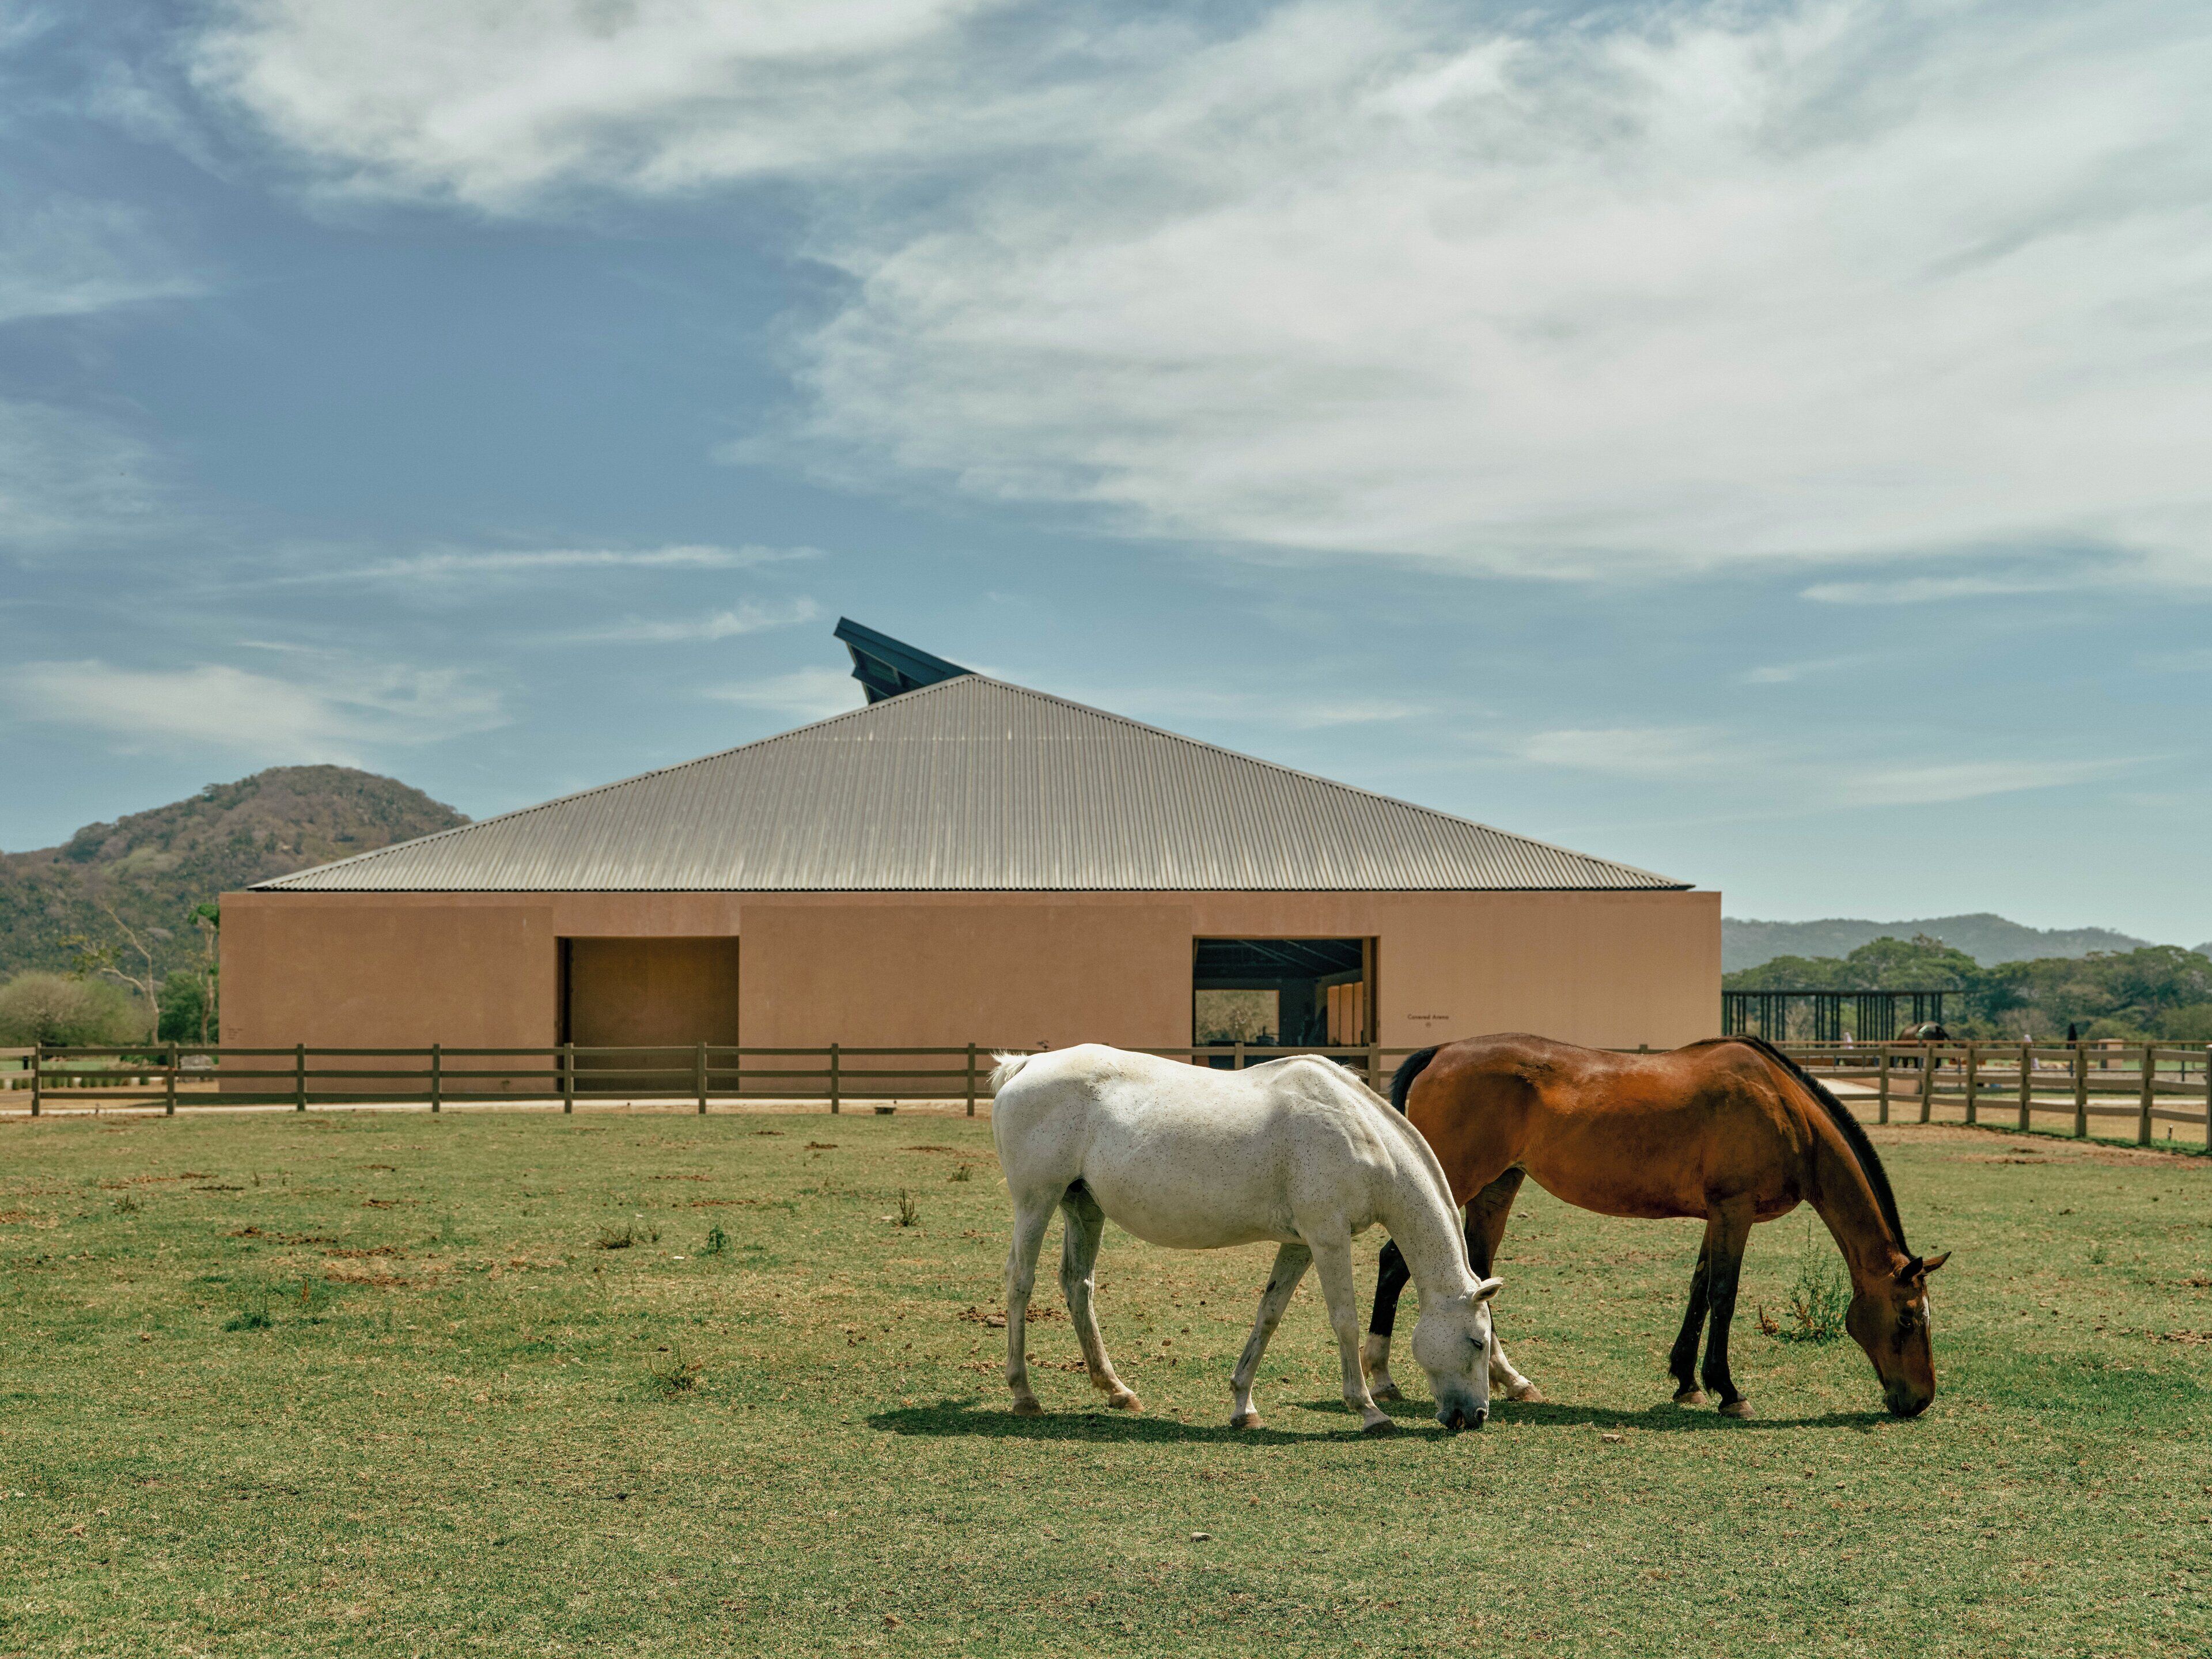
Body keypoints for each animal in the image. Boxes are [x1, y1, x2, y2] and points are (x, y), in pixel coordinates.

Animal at [990, 1044, 1506, 1434]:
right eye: (1478, 1342)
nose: (1476, 1415)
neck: (1360, 1132)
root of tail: (1026, 1065)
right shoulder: (1328, 1238)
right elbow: (1345, 1322)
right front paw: (1369, 1411)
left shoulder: (1299, 1244)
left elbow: (1269, 1314)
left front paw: (1244, 1406)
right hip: (1036, 1202)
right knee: (1021, 1281)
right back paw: (1024, 1395)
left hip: (1083, 1207)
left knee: (1077, 1285)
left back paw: (1117, 1391)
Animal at [1362, 1034, 1948, 1419]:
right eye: (1908, 1318)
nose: (1920, 1400)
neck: (1785, 1108)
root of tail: (1440, 1053)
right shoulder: (1735, 1209)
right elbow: (1724, 1293)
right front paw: (1728, 1390)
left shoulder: (1718, 1214)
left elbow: (1699, 1289)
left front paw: (1687, 1381)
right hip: (1457, 1179)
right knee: (1393, 1262)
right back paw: (1382, 1377)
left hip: (1496, 1188)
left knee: (1477, 1276)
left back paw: (1511, 1380)